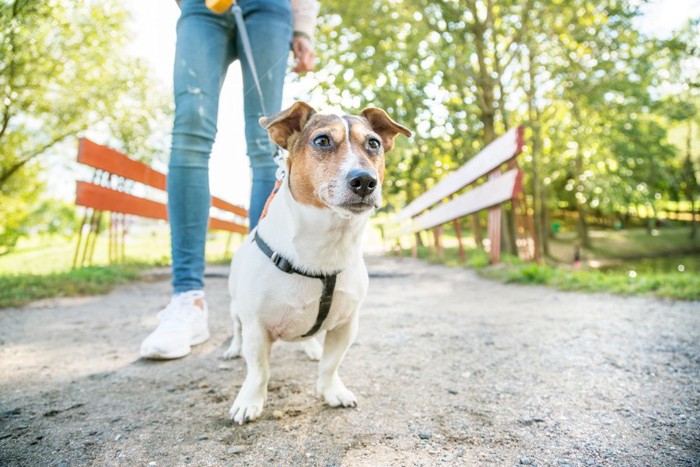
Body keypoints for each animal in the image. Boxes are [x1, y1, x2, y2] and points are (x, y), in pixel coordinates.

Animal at [223, 101, 410, 424]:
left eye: (373, 143)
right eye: (322, 140)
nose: (364, 180)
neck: (328, 242)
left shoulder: (346, 326)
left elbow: (330, 364)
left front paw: (331, 391)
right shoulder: (256, 328)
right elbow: (258, 371)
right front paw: (249, 401)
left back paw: (310, 347)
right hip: (236, 308)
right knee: (236, 329)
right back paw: (234, 349)